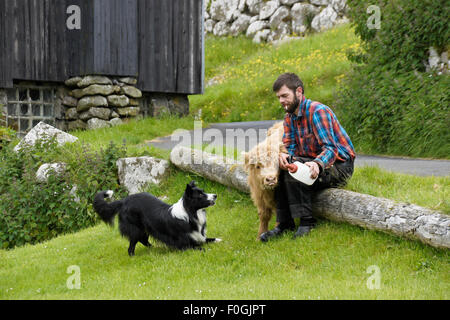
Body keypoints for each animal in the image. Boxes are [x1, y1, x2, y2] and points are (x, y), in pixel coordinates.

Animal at [93, 181, 221, 256]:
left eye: (203, 191)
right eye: (200, 194)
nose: (215, 195)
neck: (190, 213)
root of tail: (124, 200)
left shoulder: (199, 237)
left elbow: (209, 239)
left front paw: (219, 240)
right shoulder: (184, 244)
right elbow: (198, 248)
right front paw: (208, 251)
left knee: (144, 240)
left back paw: (155, 248)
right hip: (135, 229)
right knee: (131, 246)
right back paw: (133, 256)